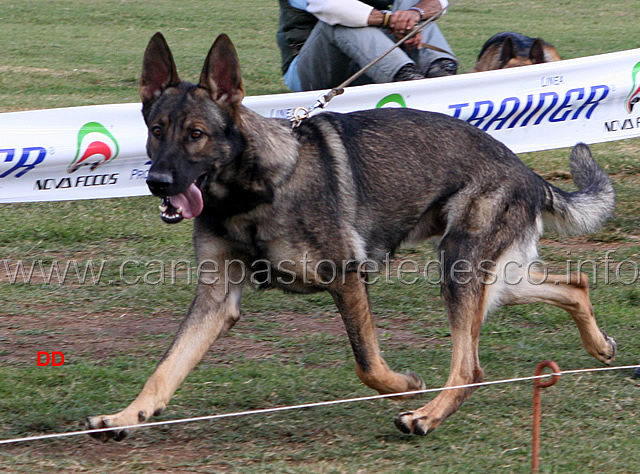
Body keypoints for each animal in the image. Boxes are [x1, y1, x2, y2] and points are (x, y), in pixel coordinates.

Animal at [85, 33, 616, 440]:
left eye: (196, 134)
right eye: (157, 130)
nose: (158, 182)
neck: (251, 193)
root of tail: (528, 171)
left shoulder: (346, 278)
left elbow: (367, 363)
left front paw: (406, 386)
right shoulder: (217, 300)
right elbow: (166, 367)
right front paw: (128, 415)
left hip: (461, 270)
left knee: (470, 368)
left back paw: (425, 416)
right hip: (495, 278)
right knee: (574, 284)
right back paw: (600, 347)